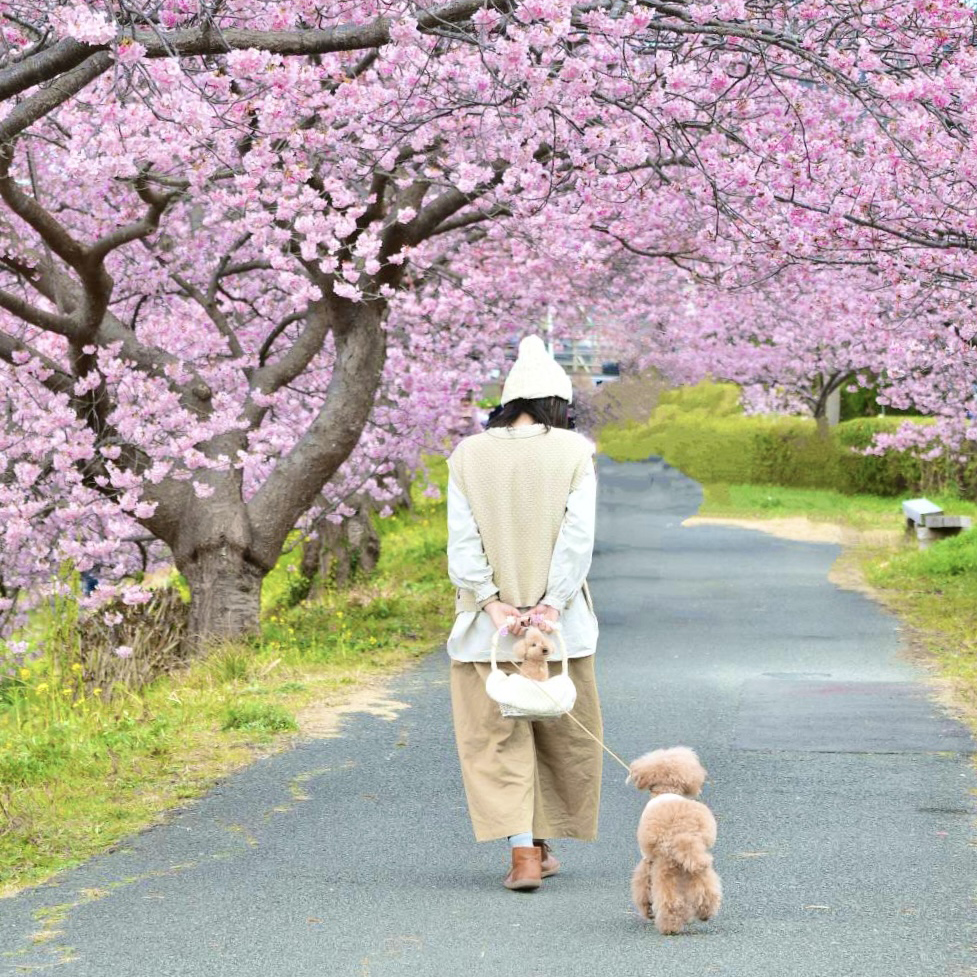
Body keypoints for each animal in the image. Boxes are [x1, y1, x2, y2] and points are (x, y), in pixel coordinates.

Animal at [628, 752, 720, 936]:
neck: (667, 789)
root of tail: (681, 834)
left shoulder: (648, 861)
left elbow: (643, 886)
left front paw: (648, 909)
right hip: (695, 863)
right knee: (705, 888)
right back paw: (704, 912)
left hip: (665, 865)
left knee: (669, 899)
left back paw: (670, 926)